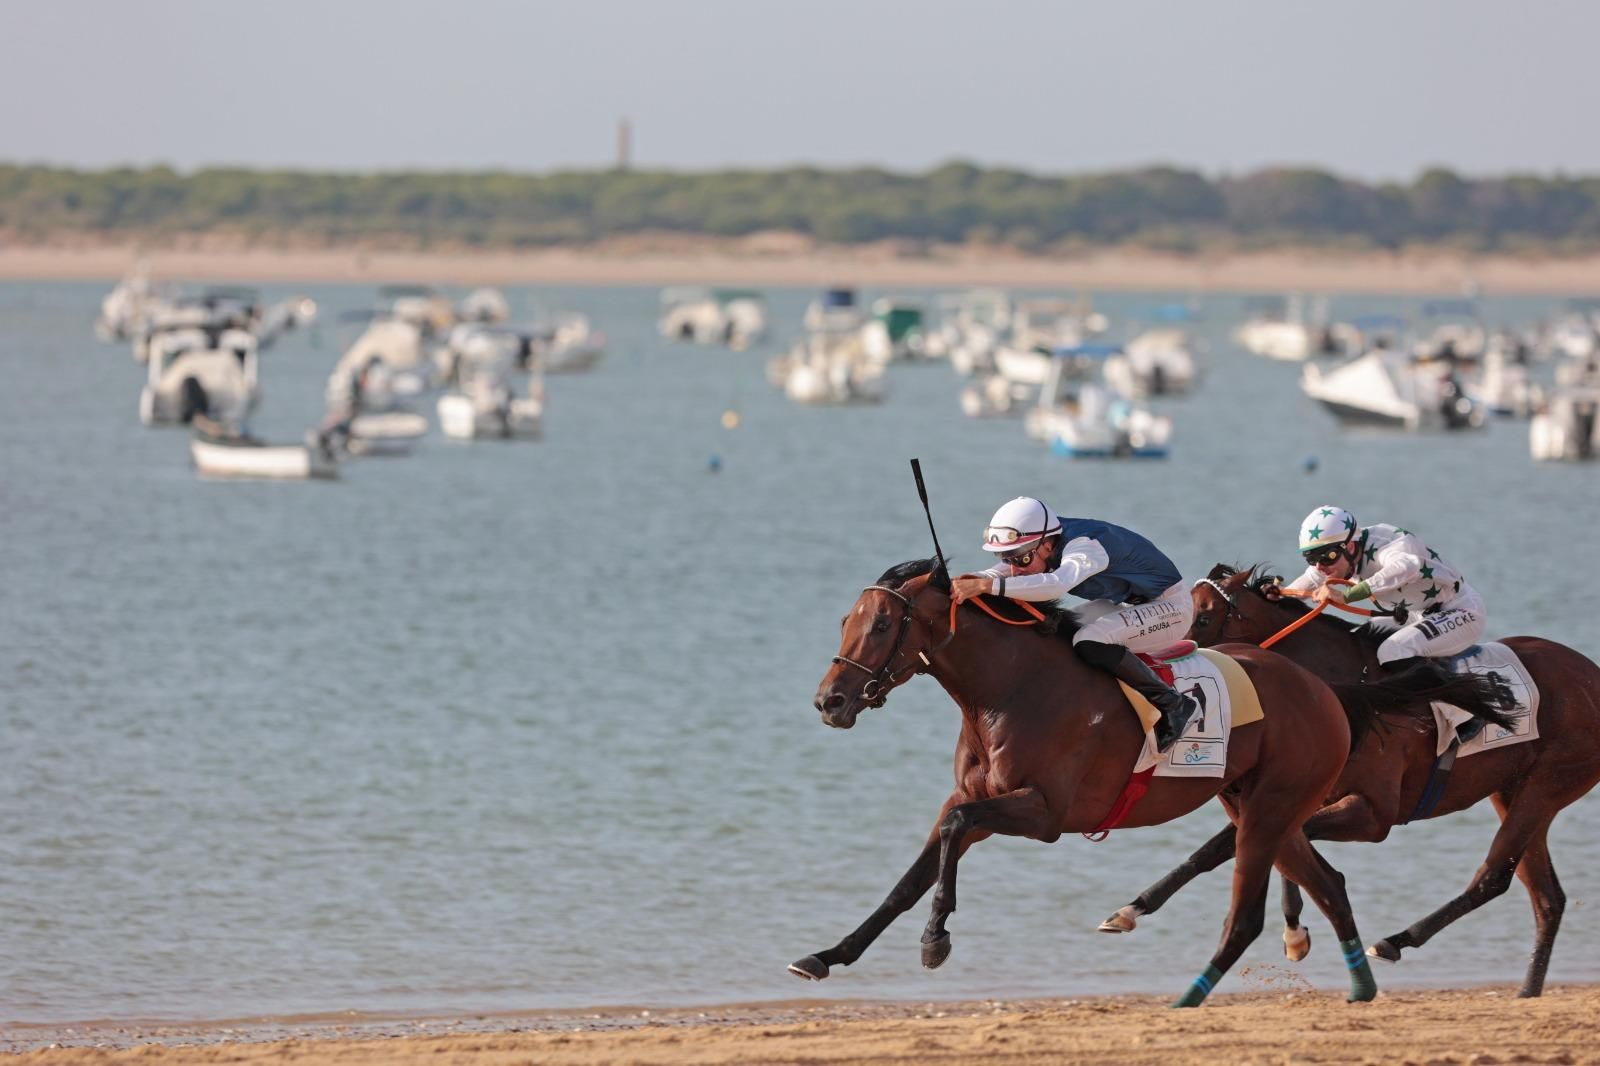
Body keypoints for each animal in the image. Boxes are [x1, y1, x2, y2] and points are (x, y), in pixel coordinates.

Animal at [792, 557, 1420, 1006]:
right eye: (846, 621)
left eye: (880, 624)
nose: (829, 701)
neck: (1011, 688)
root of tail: (1325, 689)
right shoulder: (974, 795)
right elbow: (909, 879)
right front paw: (828, 954)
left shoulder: (1043, 812)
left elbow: (954, 831)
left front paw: (935, 939)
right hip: (1264, 808)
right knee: (1329, 884)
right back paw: (1360, 988)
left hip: (1272, 808)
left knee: (1246, 915)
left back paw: (1187, 998)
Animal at [1100, 563, 1600, 998]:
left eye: (1203, 615)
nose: (1166, 661)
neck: (1352, 695)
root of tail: (1591, 674)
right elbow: (1218, 849)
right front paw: (1130, 910)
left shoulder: (1373, 815)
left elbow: (1268, 845)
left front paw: (1295, 929)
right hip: (1512, 790)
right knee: (1547, 897)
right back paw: (1528, 989)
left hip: (1546, 785)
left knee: (1494, 876)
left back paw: (1397, 941)